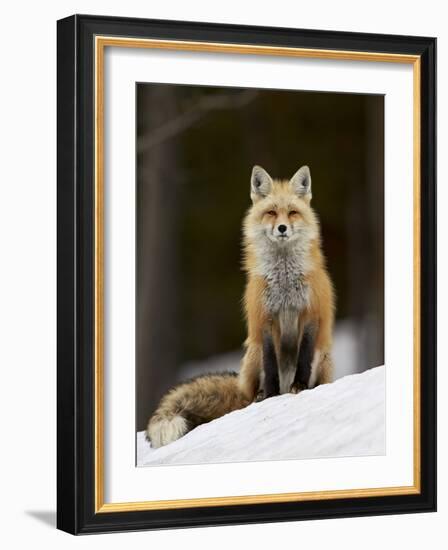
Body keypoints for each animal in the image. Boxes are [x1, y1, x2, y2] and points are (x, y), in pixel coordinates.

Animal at [145, 167, 334, 448]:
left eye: (292, 212)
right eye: (271, 213)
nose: (282, 228)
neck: (284, 280)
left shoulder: (310, 314)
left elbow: (303, 357)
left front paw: (299, 387)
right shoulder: (264, 319)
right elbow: (270, 364)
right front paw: (271, 396)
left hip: (323, 357)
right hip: (252, 354)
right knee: (252, 388)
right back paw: (259, 396)